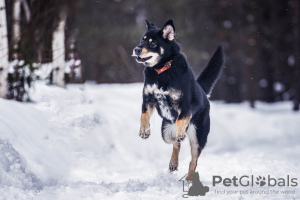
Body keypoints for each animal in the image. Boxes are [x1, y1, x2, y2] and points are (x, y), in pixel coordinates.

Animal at [132, 19, 224, 180]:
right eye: (142, 40)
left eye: (153, 43)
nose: (136, 49)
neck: (162, 70)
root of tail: (204, 94)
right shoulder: (148, 99)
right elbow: (143, 115)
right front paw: (144, 131)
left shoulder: (185, 104)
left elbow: (181, 119)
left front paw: (181, 132)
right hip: (166, 131)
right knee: (175, 143)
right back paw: (173, 163)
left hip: (197, 137)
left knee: (193, 160)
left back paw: (189, 179)